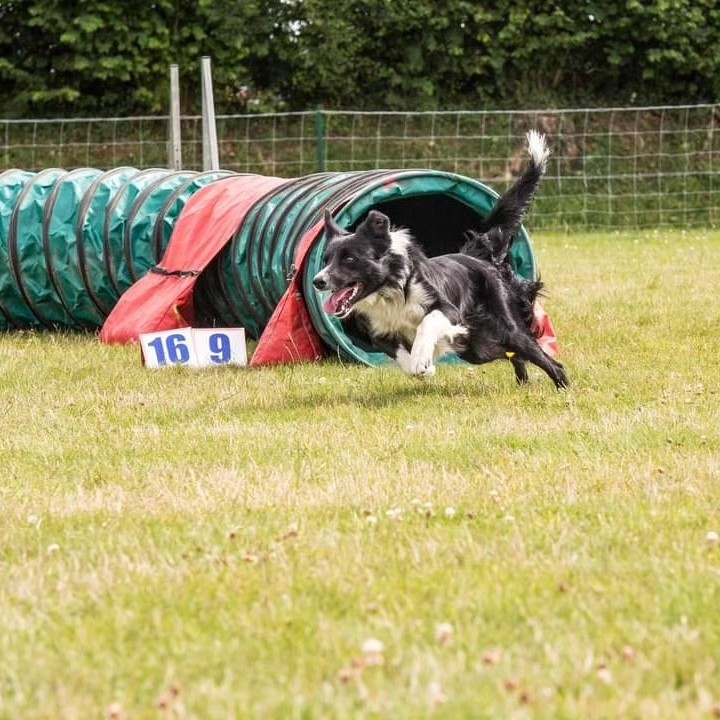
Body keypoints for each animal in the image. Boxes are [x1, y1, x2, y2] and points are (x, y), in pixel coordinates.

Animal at [312, 129, 572, 388]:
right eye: (325, 260)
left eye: (350, 259)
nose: (317, 281)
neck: (389, 289)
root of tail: (476, 257)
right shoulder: (380, 331)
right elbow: (401, 356)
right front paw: (422, 367)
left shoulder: (447, 309)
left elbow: (425, 324)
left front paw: (421, 358)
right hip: (477, 346)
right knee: (514, 355)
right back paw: (523, 384)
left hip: (504, 326)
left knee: (544, 358)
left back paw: (563, 387)